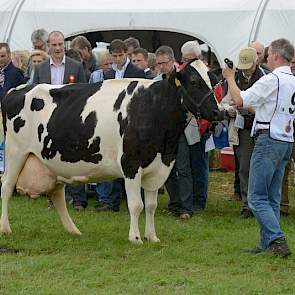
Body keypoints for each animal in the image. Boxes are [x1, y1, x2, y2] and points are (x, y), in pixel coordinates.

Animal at [0, 66, 224, 244]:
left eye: (213, 81)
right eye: (194, 81)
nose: (218, 112)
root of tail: (17, 89)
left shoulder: (159, 166)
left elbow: (151, 205)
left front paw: (152, 237)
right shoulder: (131, 164)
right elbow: (136, 205)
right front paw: (135, 238)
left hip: (53, 163)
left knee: (56, 195)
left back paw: (73, 230)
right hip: (15, 152)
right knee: (7, 187)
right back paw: (5, 228)